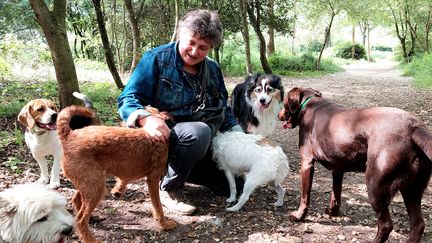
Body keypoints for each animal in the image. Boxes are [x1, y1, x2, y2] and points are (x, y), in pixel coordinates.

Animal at [56, 99, 176, 243]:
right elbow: (158, 206)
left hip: (90, 183)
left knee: (76, 200)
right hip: (96, 187)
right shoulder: (153, 179)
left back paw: (92, 219)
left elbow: (123, 179)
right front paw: (164, 224)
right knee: (80, 219)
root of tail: (69, 135)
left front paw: (118, 190)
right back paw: (91, 239)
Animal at [276, 87, 432, 243]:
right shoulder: (337, 168)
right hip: (412, 189)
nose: (278, 115)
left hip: (376, 185)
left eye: (284, 103)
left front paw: (299, 215)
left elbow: (305, 195)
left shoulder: (306, 162)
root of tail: (414, 128)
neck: (310, 102)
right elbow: (336, 193)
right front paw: (333, 211)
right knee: (418, 225)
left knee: (386, 225)